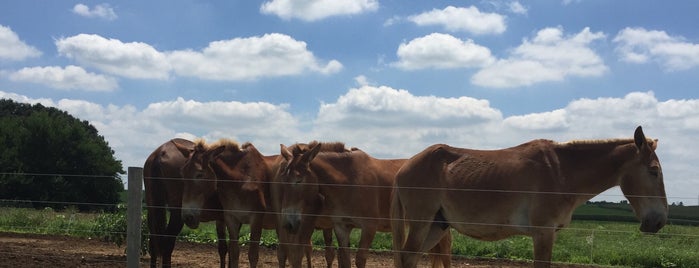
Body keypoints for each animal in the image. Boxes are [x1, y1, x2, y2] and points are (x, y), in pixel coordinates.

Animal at [176, 140, 338, 268]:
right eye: (182, 173)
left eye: (199, 174)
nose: (188, 217)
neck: (240, 179)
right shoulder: (231, 219)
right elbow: (234, 253)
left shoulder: (256, 219)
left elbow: (253, 255)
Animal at [274, 141, 454, 268]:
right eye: (283, 179)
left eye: (299, 180)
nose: (288, 223)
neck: (349, 180)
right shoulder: (341, 227)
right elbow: (345, 259)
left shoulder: (369, 228)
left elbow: (360, 259)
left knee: (446, 257)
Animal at [392, 126, 668, 268]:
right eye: (654, 171)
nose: (658, 221)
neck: (561, 171)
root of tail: (405, 167)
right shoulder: (543, 233)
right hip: (421, 223)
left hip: (436, 226)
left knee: (410, 258)